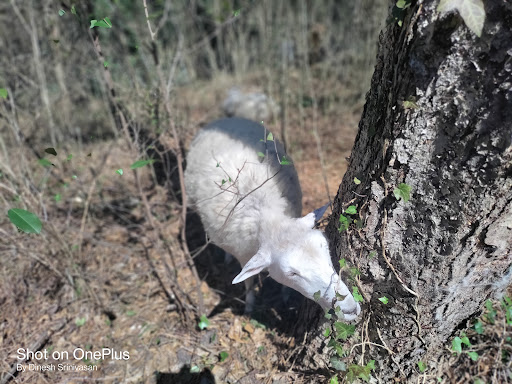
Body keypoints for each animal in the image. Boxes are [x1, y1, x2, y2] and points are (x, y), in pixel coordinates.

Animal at [184, 118, 360, 320]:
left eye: (325, 247)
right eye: (292, 273)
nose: (350, 310)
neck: (268, 214)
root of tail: (225, 119)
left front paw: (285, 296)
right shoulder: (244, 255)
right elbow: (249, 283)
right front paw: (249, 306)